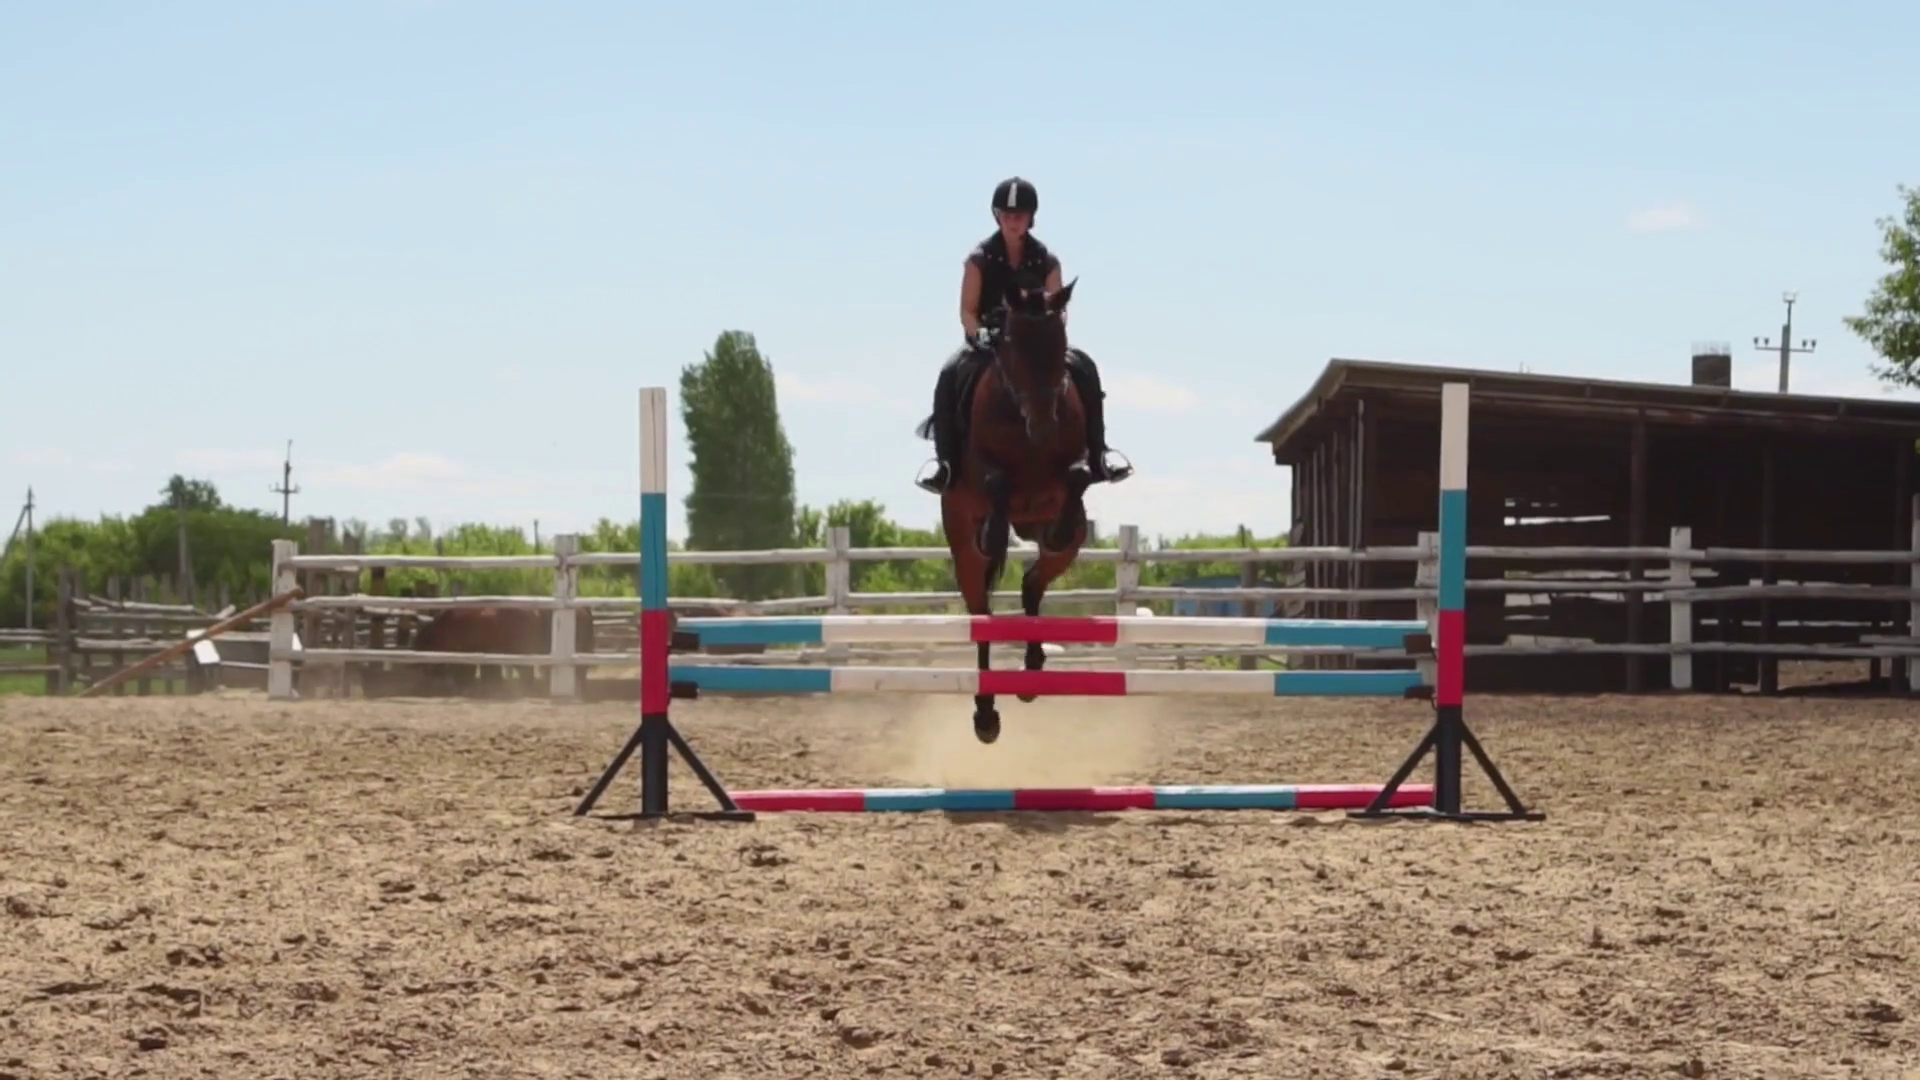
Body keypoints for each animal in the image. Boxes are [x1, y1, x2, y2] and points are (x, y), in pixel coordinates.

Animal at [940, 277, 1093, 743]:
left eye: (1059, 339)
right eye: (1012, 344)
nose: (1043, 426)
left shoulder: (1073, 468)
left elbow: (1079, 474)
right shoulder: (980, 472)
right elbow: (997, 482)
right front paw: (992, 531)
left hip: (1068, 548)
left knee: (1032, 584)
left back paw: (1032, 672)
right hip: (963, 551)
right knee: (982, 616)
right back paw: (986, 715)